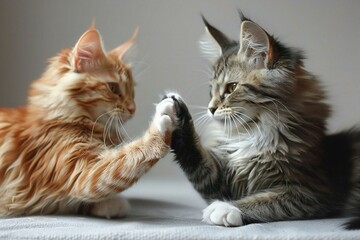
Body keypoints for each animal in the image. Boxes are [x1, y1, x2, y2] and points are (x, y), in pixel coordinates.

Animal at [0, 23, 176, 218]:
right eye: (113, 88)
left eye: (132, 91)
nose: (133, 109)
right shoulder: (81, 173)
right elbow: (127, 159)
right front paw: (163, 117)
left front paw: (110, 205)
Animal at [164, 13, 360, 229]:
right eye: (211, 91)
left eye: (231, 88)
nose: (211, 109)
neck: (253, 132)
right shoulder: (223, 181)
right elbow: (197, 162)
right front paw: (172, 112)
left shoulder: (314, 191)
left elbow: (268, 200)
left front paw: (226, 208)